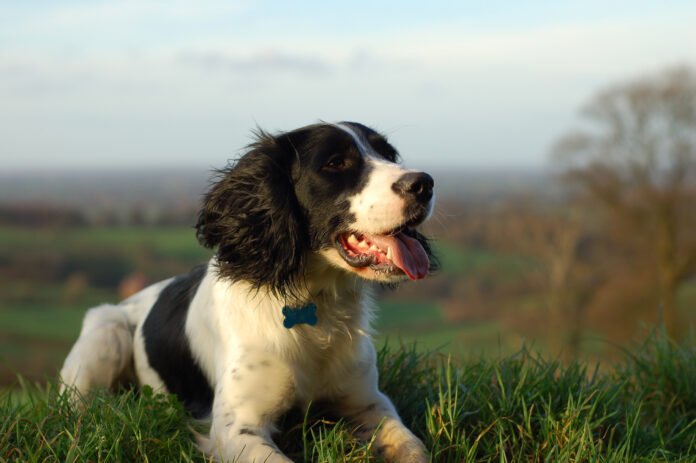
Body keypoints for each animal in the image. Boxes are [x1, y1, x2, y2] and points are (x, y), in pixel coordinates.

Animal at [59, 121, 436, 462]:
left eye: (388, 154)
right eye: (335, 163)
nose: (424, 184)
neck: (314, 304)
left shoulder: (369, 403)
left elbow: (414, 448)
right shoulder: (237, 428)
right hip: (107, 333)